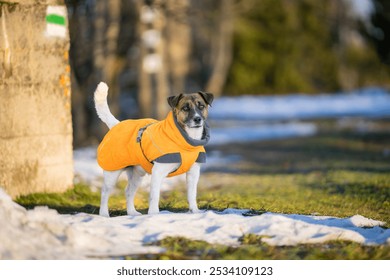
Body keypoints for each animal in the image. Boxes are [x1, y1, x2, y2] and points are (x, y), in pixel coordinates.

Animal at [94, 81, 213, 217]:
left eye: (201, 106)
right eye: (185, 108)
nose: (197, 119)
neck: (184, 141)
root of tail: (116, 125)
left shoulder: (193, 173)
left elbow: (192, 194)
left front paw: (194, 211)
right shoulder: (158, 172)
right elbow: (154, 196)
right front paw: (154, 213)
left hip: (137, 174)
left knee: (128, 191)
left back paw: (132, 213)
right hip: (112, 172)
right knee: (105, 192)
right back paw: (104, 214)